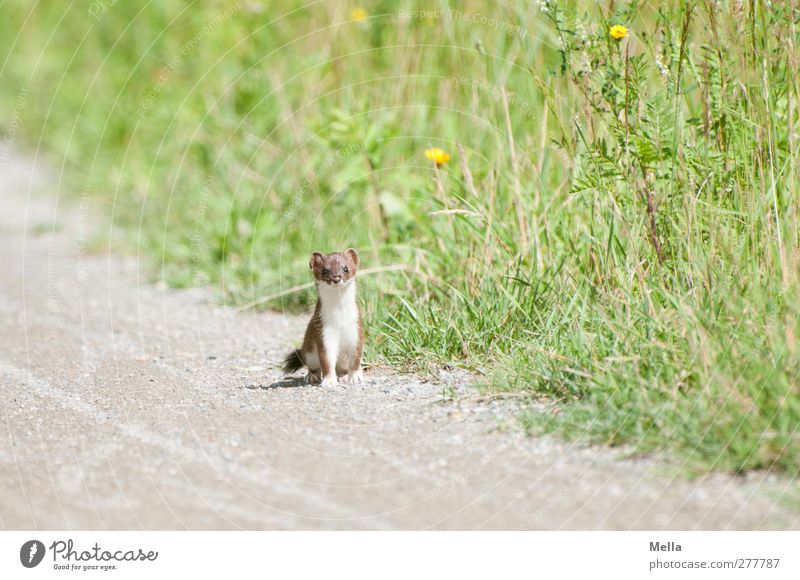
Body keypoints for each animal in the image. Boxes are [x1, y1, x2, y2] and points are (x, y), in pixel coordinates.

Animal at [282, 248, 364, 388]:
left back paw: (344, 377)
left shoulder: (356, 327)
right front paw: (329, 381)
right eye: (325, 270)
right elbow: (326, 359)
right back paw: (311, 377)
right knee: (314, 366)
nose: (336, 278)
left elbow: (355, 357)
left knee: (342, 368)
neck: (339, 317)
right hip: (309, 352)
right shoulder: (323, 329)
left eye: (345, 268)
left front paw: (355, 377)